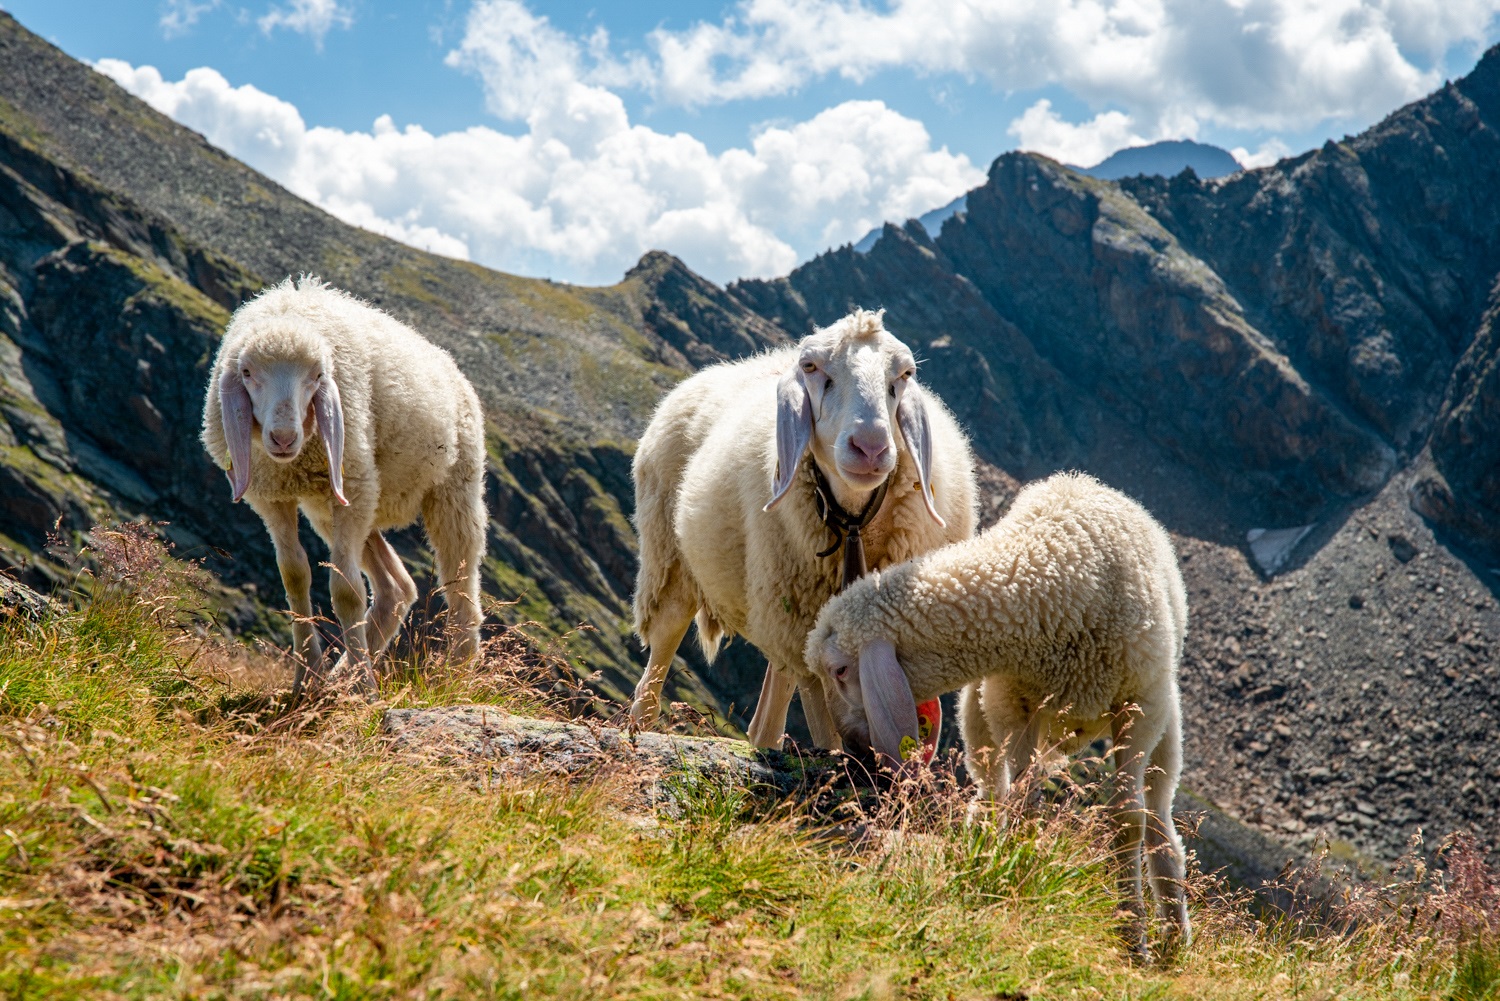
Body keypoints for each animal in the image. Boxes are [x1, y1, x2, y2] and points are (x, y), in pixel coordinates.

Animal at [202, 274, 486, 696]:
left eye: (318, 376)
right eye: (249, 373)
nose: (283, 437)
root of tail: (450, 364)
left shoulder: (350, 485)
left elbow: (346, 591)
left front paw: (366, 690)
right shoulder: (271, 496)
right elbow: (294, 576)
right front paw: (307, 677)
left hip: (448, 492)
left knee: (462, 593)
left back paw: (454, 677)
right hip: (340, 503)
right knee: (397, 588)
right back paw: (342, 674)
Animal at [627, 309, 978, 747]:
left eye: (906, 373)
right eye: (810, 366)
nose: (870, 448)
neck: (854, 521)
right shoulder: (809, 642)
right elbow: (828, 733)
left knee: (769, 707)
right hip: (671, 564)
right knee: (657, 661)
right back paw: (638, 730)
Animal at [810, 474, 1194, 960]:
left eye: (840, 671)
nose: (854, 751)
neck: (1050, 566)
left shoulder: (1138, 705)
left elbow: (1127, 821)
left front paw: (1131, 936)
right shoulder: (1015, 704)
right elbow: (1026, 805)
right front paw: (1022, 875)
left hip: (1164, 716)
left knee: (1159, 816)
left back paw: (1174, 934)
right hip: (982, 712)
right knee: (992, 793)